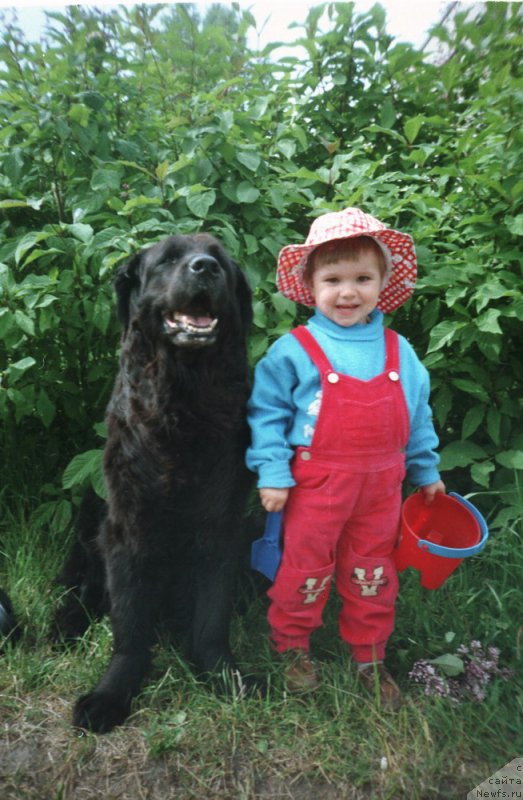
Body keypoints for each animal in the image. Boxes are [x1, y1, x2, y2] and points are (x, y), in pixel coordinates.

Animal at [52, 231, 254, 732]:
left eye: (220, 261)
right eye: (168, 260)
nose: (205, 268)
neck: (184, 400)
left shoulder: (220, 525)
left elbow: (212, 618)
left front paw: (223, 675)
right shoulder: (128, 527)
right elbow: (129, 624)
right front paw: (110, 694)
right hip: (92, 513)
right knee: (82, 589)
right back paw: (64, 625)